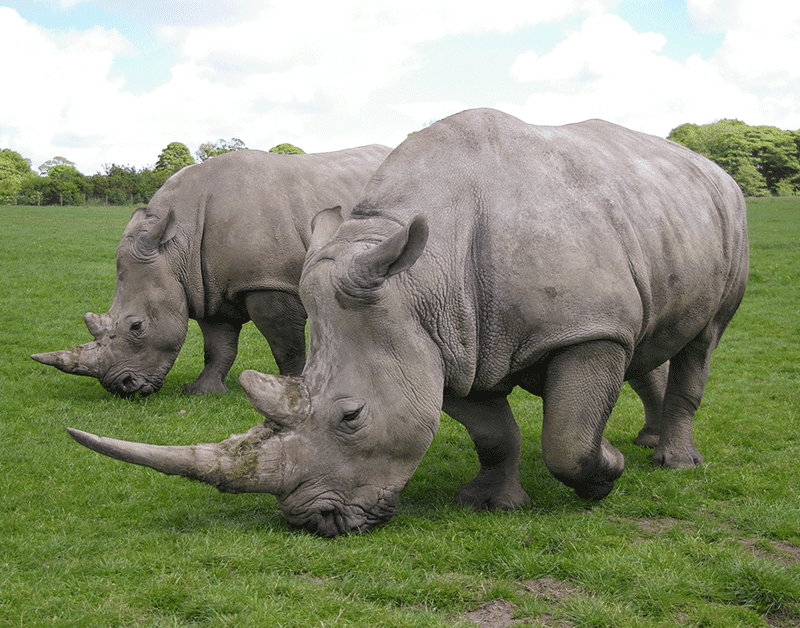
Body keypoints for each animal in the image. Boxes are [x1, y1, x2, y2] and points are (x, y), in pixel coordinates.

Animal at [32, 145, 392, 396]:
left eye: (136, 326)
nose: (122, 386)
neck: (174, 246)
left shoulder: (267, 281)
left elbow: (284, 342)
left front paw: (292, 389)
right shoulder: (205, 285)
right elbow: (216, 346)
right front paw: (202, 391)